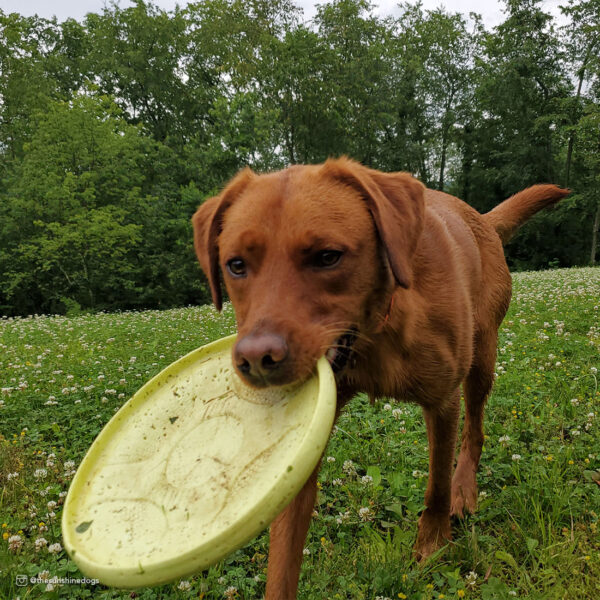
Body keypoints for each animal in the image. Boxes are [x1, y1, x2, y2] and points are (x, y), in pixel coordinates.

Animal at [191, 157, 568, 596]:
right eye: (235, 265)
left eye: (327, 257)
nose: (255, 360)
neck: (374, 334)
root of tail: (484, 220)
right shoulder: (304, 446)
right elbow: (282, 561)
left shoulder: (443, 401)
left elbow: (436, 485)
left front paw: (432, 543)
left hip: (482, 360)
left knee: (474, 431)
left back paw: (465, 488)